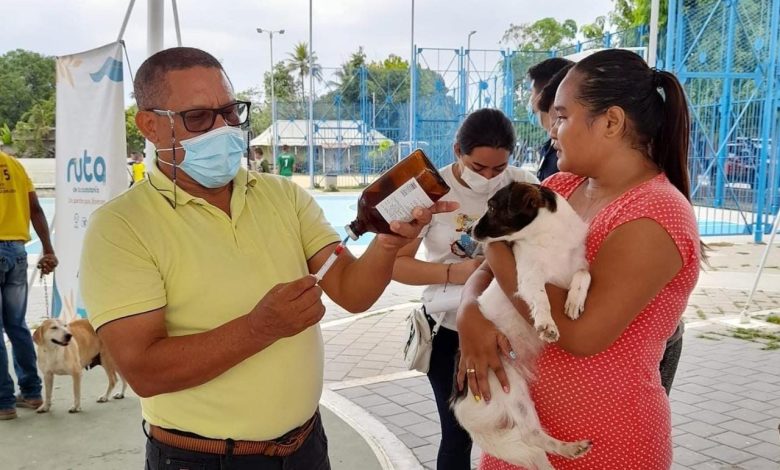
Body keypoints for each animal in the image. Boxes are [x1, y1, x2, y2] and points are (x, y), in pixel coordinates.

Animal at [450, 182, 592, 468]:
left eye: (492, 207)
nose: (468, 230)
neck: (549, 239)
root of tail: (457, 401)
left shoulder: (576, 265)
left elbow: (584, 274)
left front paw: (575, 301)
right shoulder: (527, 277)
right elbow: (541, 297)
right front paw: (547, 323)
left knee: (533, 439)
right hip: (508, 387)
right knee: (530, 434)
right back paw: (568, 448)